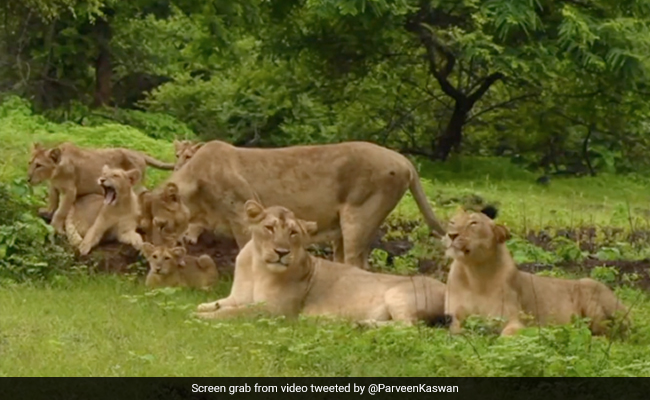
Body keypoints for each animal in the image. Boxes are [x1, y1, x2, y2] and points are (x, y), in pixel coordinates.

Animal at [27, 141, 174, 233]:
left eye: (39, 165)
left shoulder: (70, 191)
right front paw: (47, 211)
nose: (27, 178)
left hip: (134, 185)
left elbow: (61, 211)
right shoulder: (53, 186)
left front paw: (56, 227)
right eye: (30, 163)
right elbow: (52, 200)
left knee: (145, 196)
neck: (55, 174)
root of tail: (139, 153)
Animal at [144, 140, 447, 269]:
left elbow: (247, 251)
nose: (154, 253)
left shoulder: (242, 214)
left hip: (359, 220)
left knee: (358, 265)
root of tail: (404, 160)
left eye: (161, 223)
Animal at [194, 200, 447, 326]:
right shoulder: (238, 296)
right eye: (269, 228)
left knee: (411, 328)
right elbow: (222, 303)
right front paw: (202, 307)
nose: (281, 252)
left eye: (293, 233)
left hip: (398, 295)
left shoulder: (276, 311)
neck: (258, 266)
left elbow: (235, 313)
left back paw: (362, 325)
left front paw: (202, 317)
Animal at [444, 207, 629, 337]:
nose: (451, 235)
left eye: (473, 223)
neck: (476, 273)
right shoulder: (452, 317)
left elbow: (508, 335)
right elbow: (455, 330)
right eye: (452, 222)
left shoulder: (515, 320)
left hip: (590, 288)